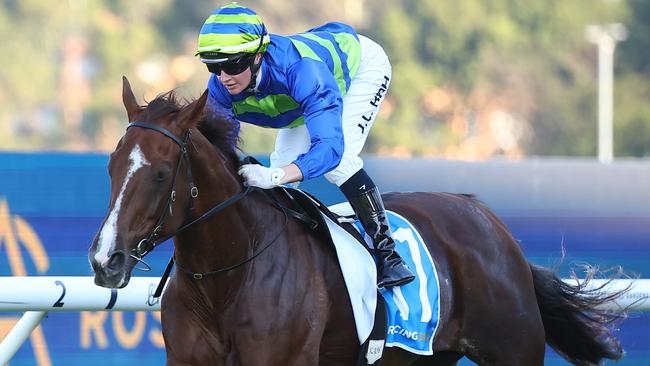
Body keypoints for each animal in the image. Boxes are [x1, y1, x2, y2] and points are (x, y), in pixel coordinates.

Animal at [87, 76, 624, 364]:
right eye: (111, 166)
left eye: (160, 173)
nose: (104, 260)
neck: (229, 274)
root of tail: (488, 220)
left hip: (513, 349)